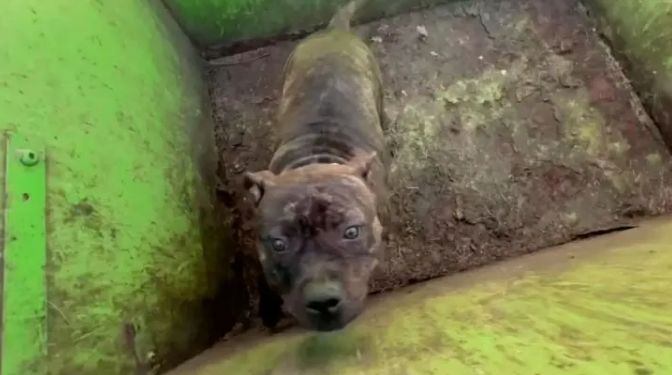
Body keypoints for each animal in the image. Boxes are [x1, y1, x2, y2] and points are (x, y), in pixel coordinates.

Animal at [244, 0, 386, 334]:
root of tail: (335, 31)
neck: (315, 158)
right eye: (279, 243)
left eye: (351, 232)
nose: (323, 301)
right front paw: (268, 311)